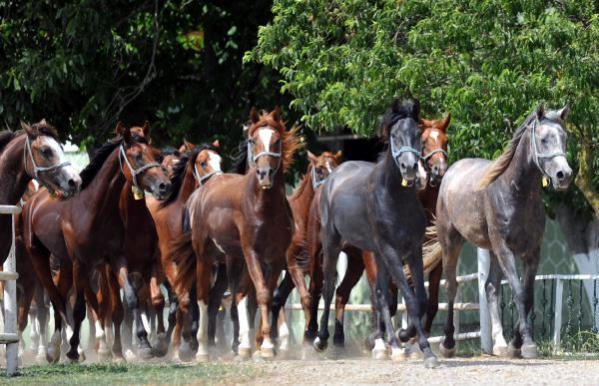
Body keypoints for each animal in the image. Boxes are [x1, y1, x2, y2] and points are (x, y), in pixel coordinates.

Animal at [21, 123, 171, 362]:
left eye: (156, 155)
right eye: (137, 156)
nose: (164, 186)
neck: (94, 209)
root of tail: (33, 201)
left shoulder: (116, 259)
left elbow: (131, 299)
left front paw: (144, 344)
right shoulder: (82, 263)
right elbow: (81, 308)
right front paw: (74, 349)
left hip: (65, 264)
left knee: (63, 296)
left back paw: (56, 347)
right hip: (39, 258)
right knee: (55, 298)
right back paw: (58, 348)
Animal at [170, 108, 300, 358]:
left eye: (277, 140)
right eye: (252, 140)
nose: (265, 174)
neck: (263, 207)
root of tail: (203, 192)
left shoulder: (275, 257)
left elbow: (262, 295)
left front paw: (259, 344)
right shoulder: (251, 253)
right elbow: (260, 294)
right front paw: (266, 345)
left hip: (232, 259)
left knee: (234, 297)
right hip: (205, 256)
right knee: (203, 297)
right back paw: (202, 349)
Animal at [316, 99, 438, 368]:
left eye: (418, 134)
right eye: (394, 135)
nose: (410, 168)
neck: (394, 196)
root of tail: (334, 177)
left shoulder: (413, 250)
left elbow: (420, 299)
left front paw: (405, 337)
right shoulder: (392, 251)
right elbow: (410, 299)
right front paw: (425, 349)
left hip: (375, 253)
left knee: (381, 295)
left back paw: (394, 346)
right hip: (333, 244)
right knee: (328, 288)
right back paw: (321, 340)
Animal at [434, 103, 576, 358]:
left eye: (565, 137)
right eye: (543, 139)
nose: (564, 176)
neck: (515, 192)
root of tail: (450, 173)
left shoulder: (532, 252)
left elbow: (527, 296)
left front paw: (515, 344)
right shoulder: (505, 249)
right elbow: (519, 292)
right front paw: (527, 343)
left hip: (491, 251)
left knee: (490, 288)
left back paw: (499, 344)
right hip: (451, 242)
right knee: (451, 285)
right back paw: (448, 343)